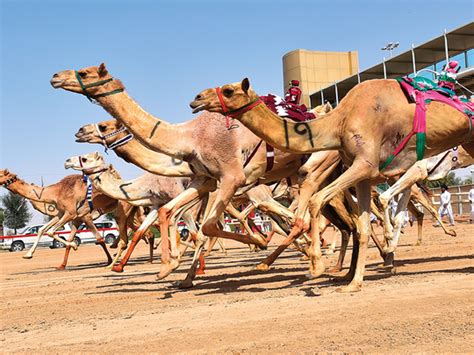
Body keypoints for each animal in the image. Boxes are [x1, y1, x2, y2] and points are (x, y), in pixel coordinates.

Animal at [190, 78, 474, 292]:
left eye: (229, 90)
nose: (196, 98)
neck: (338, 121)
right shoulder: (365, 174)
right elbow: (362, 227)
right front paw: (354, 283)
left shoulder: (364, 164)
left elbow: (317, 202)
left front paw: (316, 266)